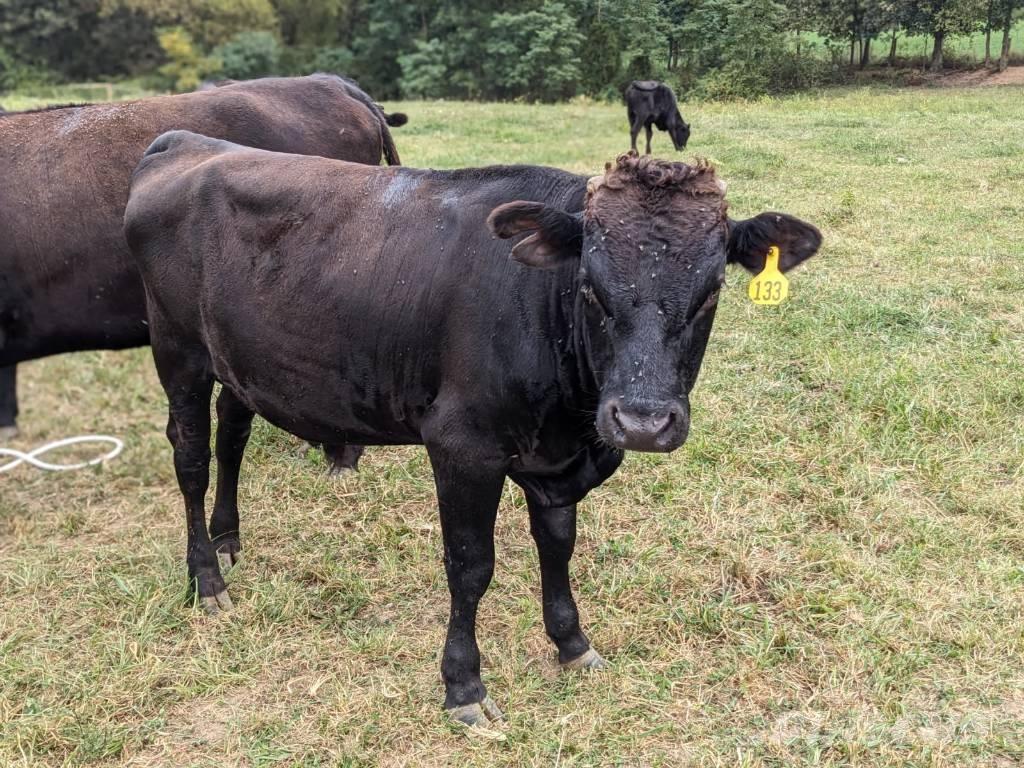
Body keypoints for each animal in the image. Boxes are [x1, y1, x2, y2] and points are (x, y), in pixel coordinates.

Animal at [124, 133, 822, 726]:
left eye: (712, 291)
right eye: (590, 287)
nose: (643, 422)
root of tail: (184, 142)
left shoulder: (555, 463)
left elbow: (558, 545)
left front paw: (572, 642)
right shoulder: (462, 447)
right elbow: (470, 565)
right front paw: (463, 685)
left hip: (237, 363)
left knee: (231, 438)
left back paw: (228, 541)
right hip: (179, 354)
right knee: (191, 458)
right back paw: (207, 578)